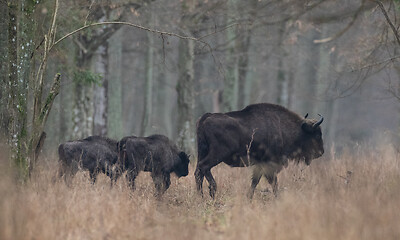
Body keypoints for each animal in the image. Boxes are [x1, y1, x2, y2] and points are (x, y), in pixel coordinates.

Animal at [195, 103, 324, 199]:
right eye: (317, 135)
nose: (321, 152)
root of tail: (205, 118)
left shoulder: (260, 164)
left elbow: (255, 181)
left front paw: (249, 198)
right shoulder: (269, 163)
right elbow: (273, 182)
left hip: (202, 152)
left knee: (198, 173)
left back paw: (201, 197)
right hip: (217, 154)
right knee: (204, 167)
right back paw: (212, 191)